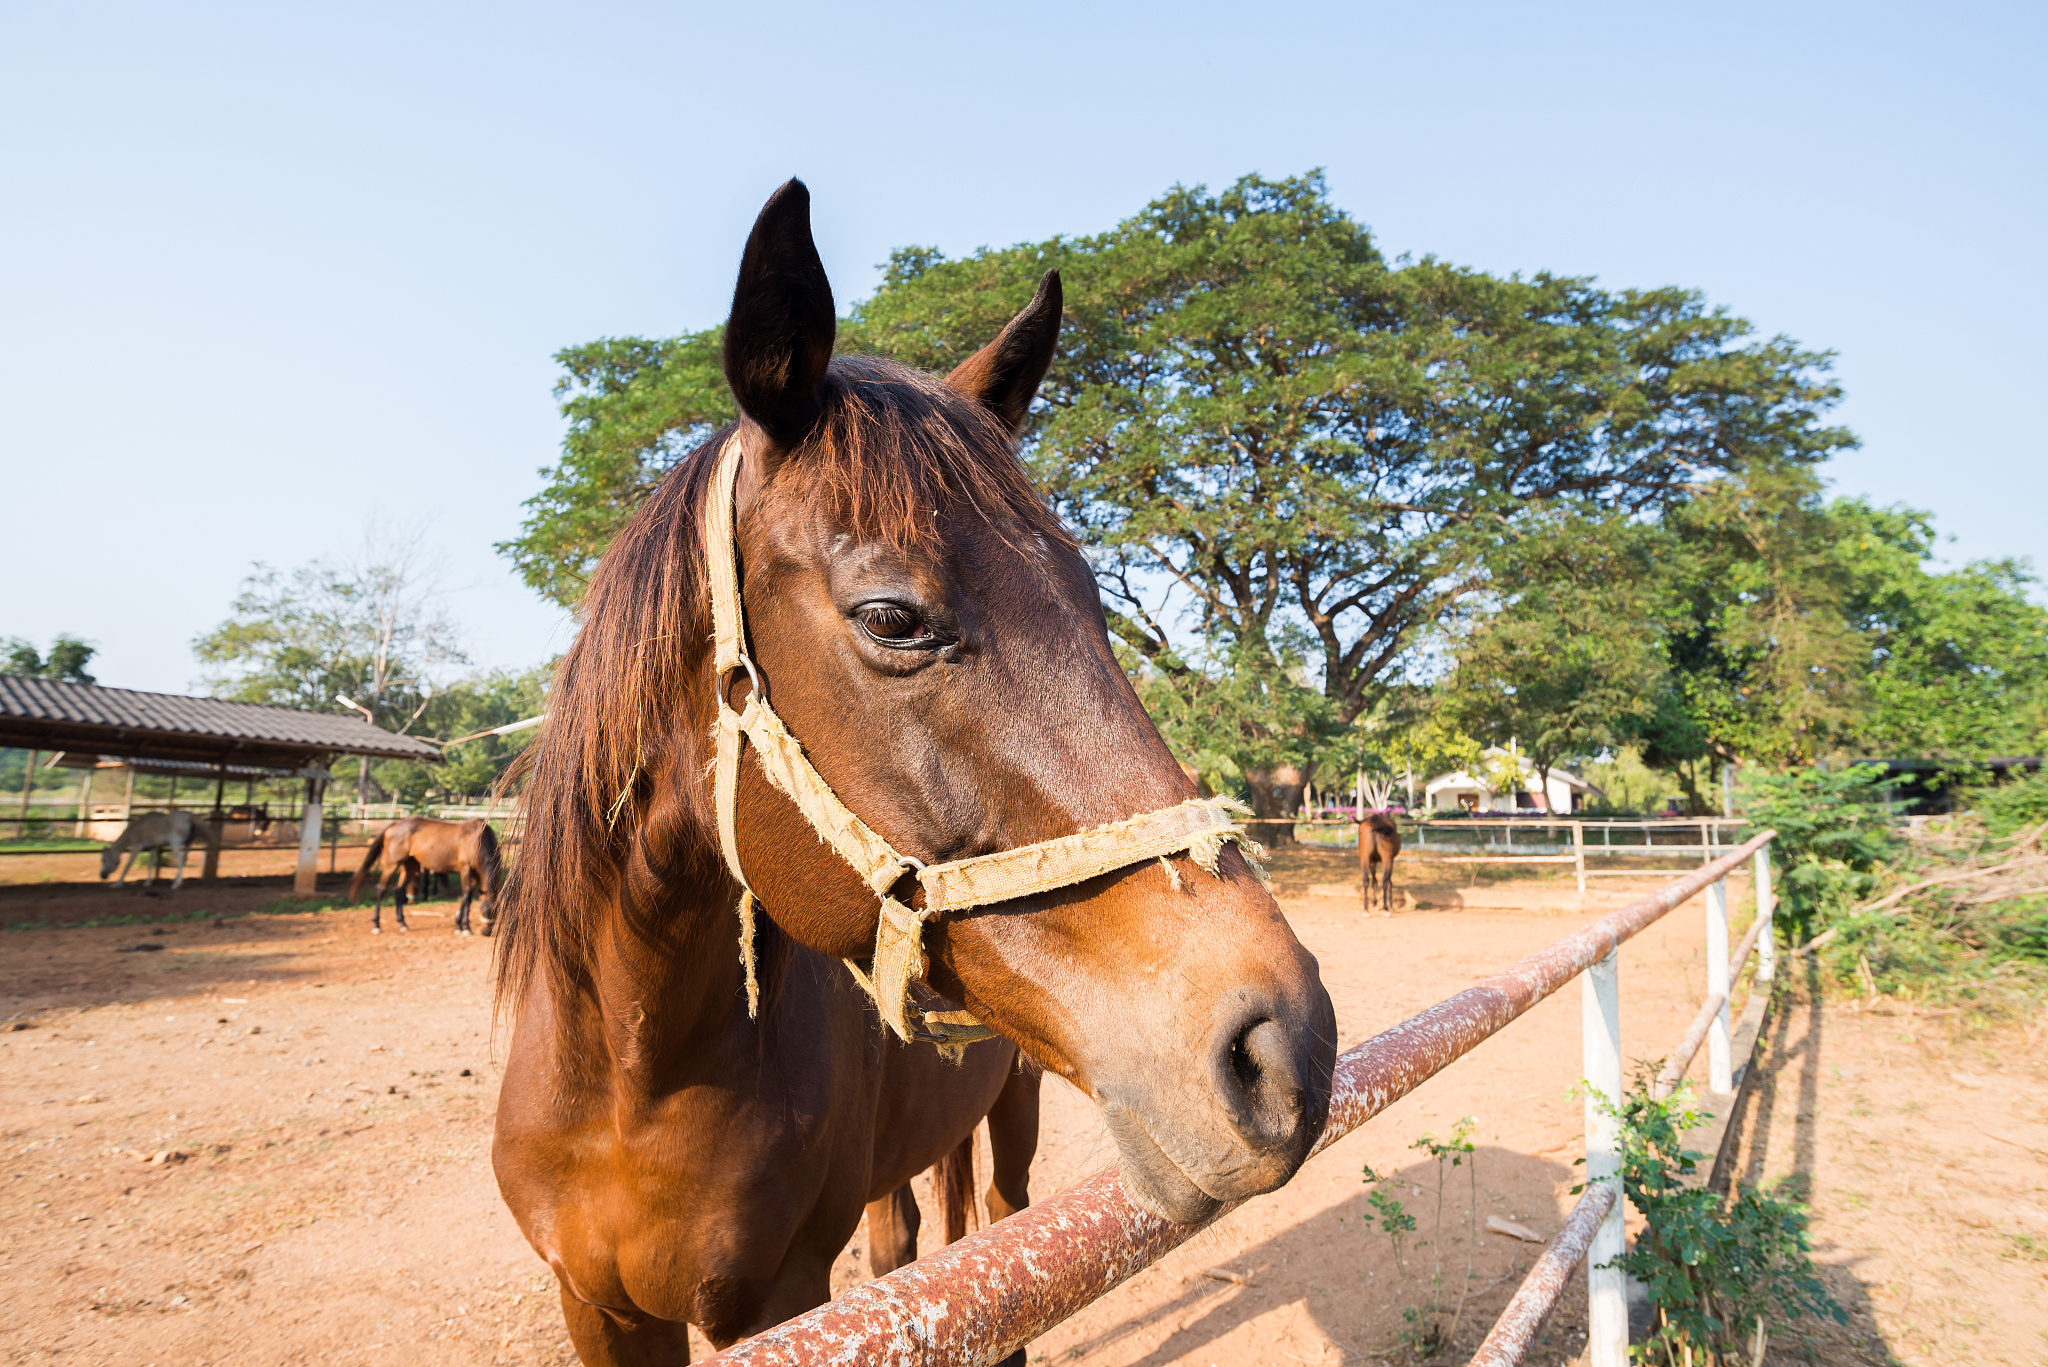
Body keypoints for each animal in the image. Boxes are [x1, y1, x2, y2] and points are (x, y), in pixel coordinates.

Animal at [348, 816, 501, 935]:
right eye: (483, 909)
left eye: (498, 911)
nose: (486, 932)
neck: (477, 840)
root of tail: (394, 825)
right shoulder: (465, 870)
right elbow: (467, 896)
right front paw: (464, 927)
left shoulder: (476, 875)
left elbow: (465, 897)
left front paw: (459, 924)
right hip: (392, 864)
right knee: (381, 889)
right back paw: (376, 925)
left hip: (410, 865)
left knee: (399, 890)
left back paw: (403, 924)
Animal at [489, 180, 1337, 1364]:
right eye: (891, 616)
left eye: (1093, 595)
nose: (1285, 1045)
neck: (631, 1077)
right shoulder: (599, 1308)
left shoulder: (783, 1291)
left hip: (1015, 1107)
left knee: (997, 1220)